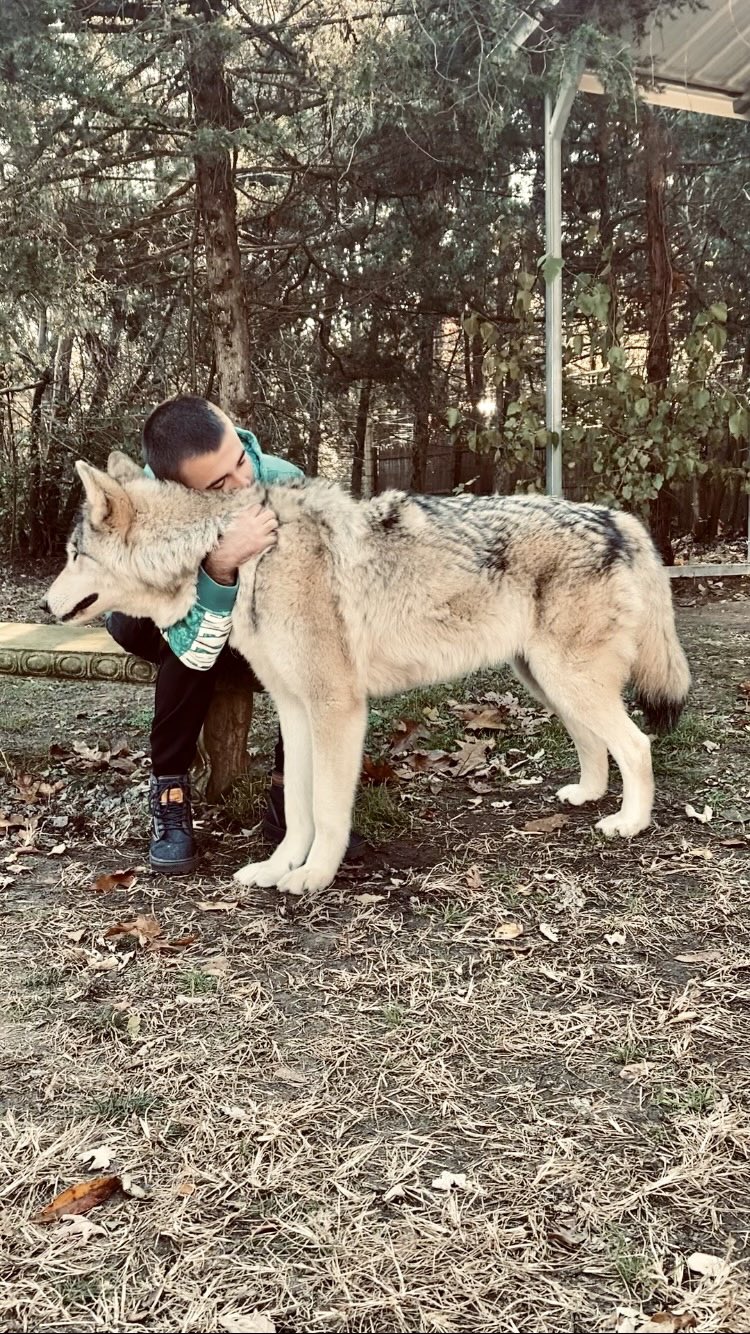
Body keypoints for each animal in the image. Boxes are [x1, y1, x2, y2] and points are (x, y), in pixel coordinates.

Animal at [45, 451, 690, 894]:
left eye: (75, 555)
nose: (47, 606)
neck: (249, 558)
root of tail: (618, 517)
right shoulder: (295, 709)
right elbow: (297, 808)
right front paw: (277, 867)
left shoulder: (337, 708)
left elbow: (328, 808)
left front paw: (313, 878)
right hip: (548, 681)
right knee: (596, 741)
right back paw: (587, 795)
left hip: (567, 680)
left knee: (637, 744)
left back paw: (629, 823)